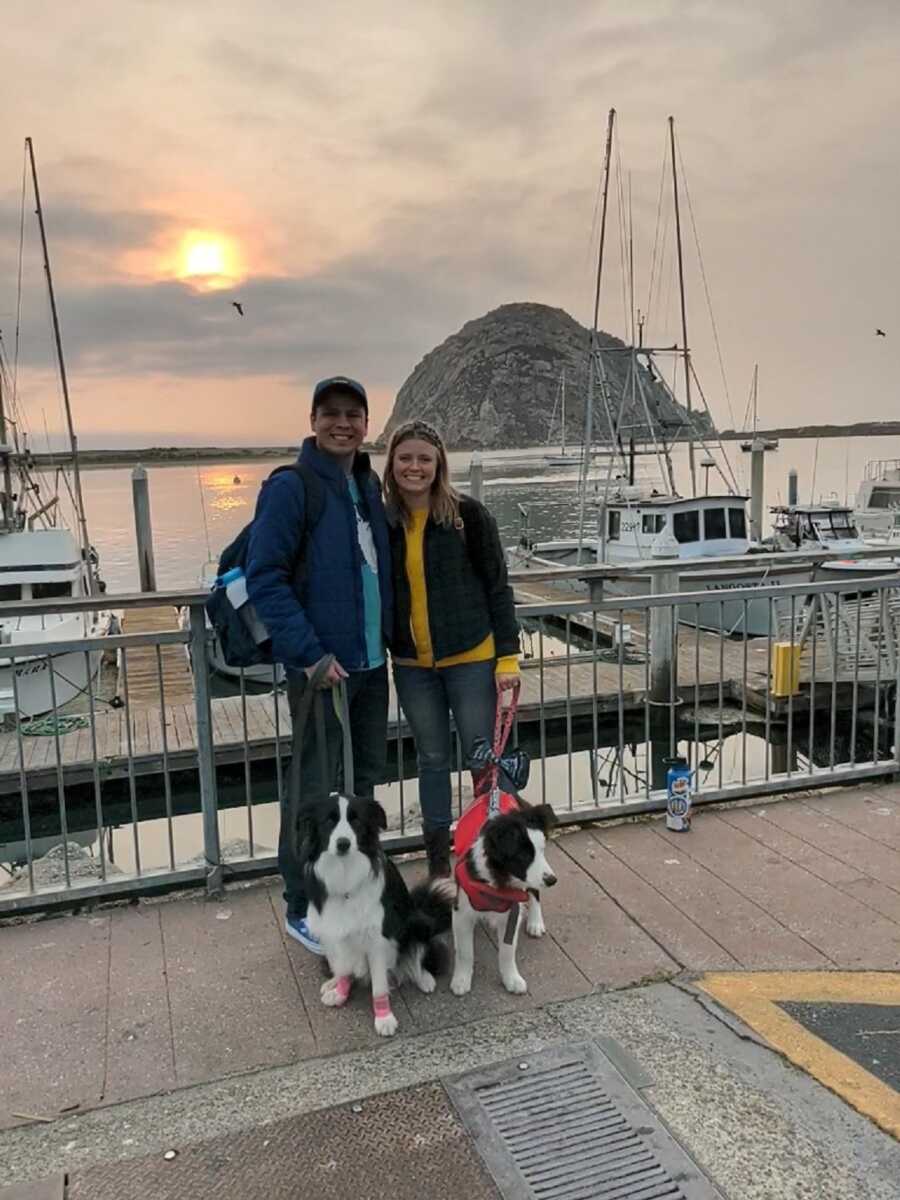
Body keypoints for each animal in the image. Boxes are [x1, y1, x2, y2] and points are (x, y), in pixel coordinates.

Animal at [303, 792, 453, 1036]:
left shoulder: (377, 937)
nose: (343, 844)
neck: (345, 873)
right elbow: (344, 967)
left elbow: (379, 987)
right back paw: (332, 982)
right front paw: (340, 991)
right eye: (329, 821)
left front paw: (384, 1019)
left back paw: (424, 978)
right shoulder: (334, 929)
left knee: (420, 954)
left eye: (356, 821)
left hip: (416, 923)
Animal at [451, 806, 556, 993]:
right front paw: (461, 980)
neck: (496, 881)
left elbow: (507, 950)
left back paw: (535, 923)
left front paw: (512, 979)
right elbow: (465, 951)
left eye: (542, 850)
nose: (552, 880)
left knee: (535, 893)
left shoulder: (512, 913)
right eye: (524, 856)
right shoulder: (461, 911)